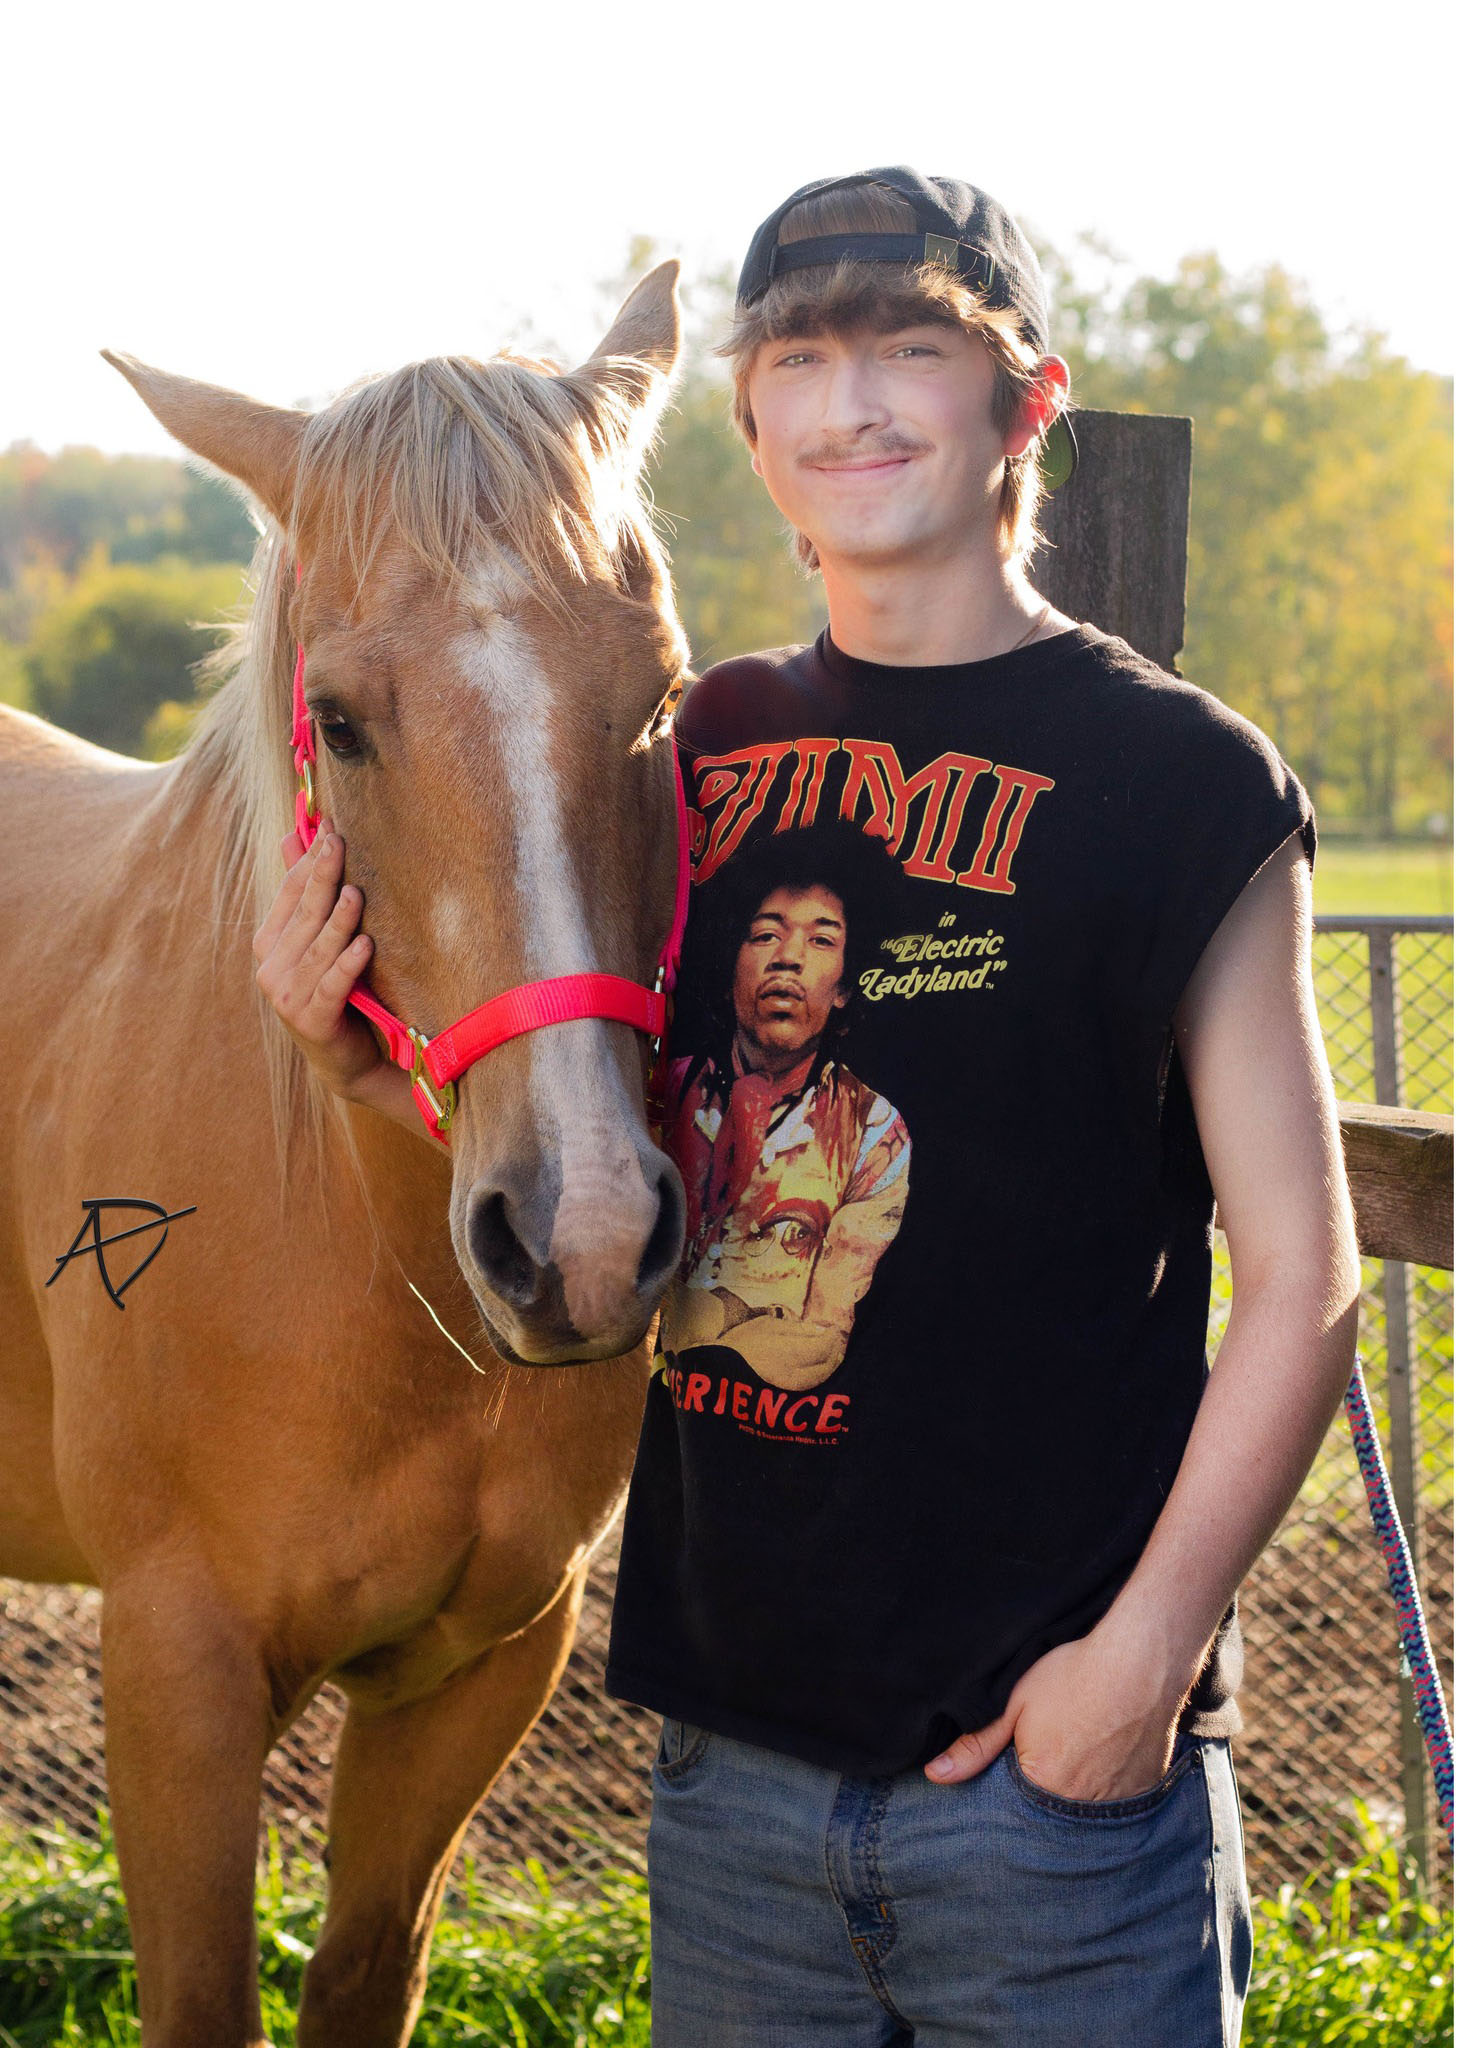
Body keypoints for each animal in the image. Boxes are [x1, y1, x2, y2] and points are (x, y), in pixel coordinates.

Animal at [0, 268, 688, 2048]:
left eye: (659, 695)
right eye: (337, 721)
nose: (582, 1236)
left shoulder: (479, 1670)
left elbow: (366, 1972)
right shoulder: (174, 1675)